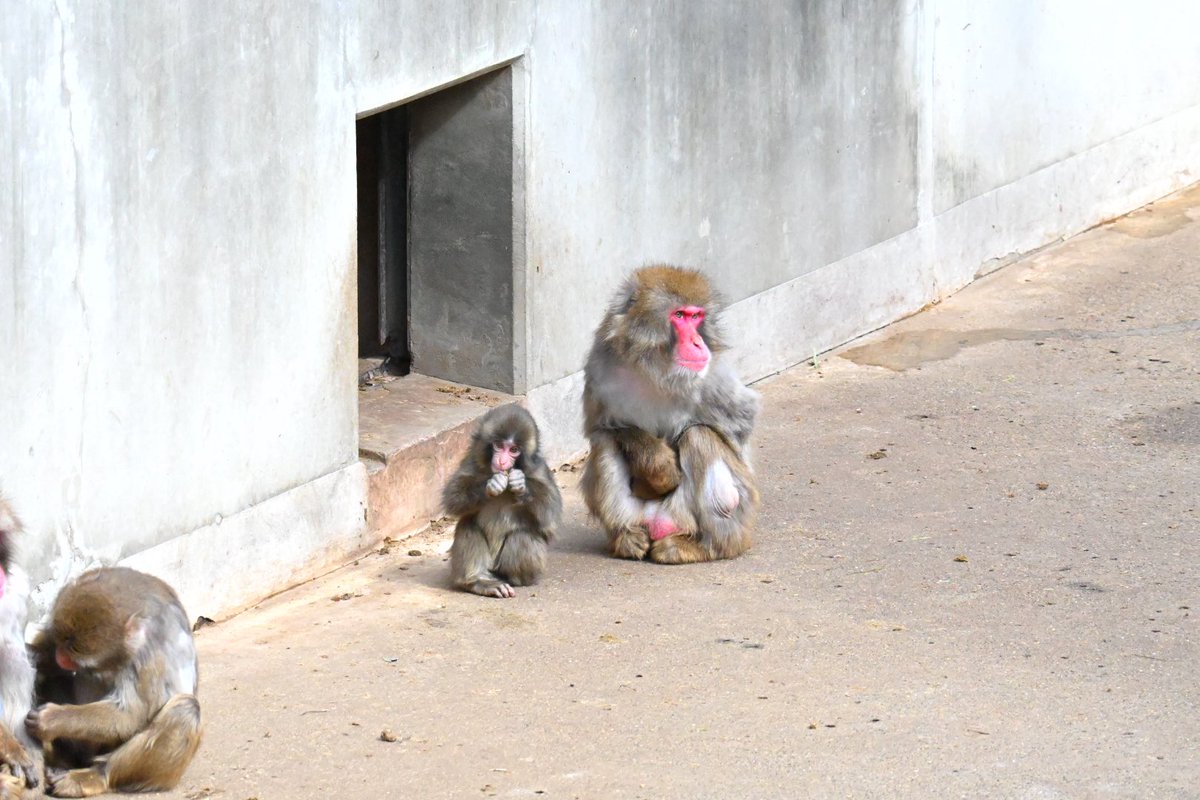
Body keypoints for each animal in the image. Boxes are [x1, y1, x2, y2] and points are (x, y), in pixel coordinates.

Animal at [26, 567, 201, 797]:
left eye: (81, 661)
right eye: (61, 644)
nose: (61, 659)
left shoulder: (148, 653)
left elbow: (129, 715)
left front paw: (53, 719)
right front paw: (32, 655)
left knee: (186, 709)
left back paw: (98, 775)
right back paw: (62, 760)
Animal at [443, 404, 563, 598]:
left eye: (513, 450)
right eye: (499, 446)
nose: (502, 461)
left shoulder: (539, 470)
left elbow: (549, 518)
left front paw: (521, 485)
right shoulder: (472, 460)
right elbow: (453, 497)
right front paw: (491, 485)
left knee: (523, 534)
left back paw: (514, 579)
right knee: (468, 525)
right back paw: (479, 582)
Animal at [581, 265, 761, 564]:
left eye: (696, 316)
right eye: (679, 316)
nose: (698, 343)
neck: (655, 368)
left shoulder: (713, 374)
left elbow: (740, 426)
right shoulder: (600, 364)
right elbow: (603, 428)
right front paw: (659, 468)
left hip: (716, 515)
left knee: (699, 436)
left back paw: (707, 547)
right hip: (639, 514)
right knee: (605, 444)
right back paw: (627, 538)